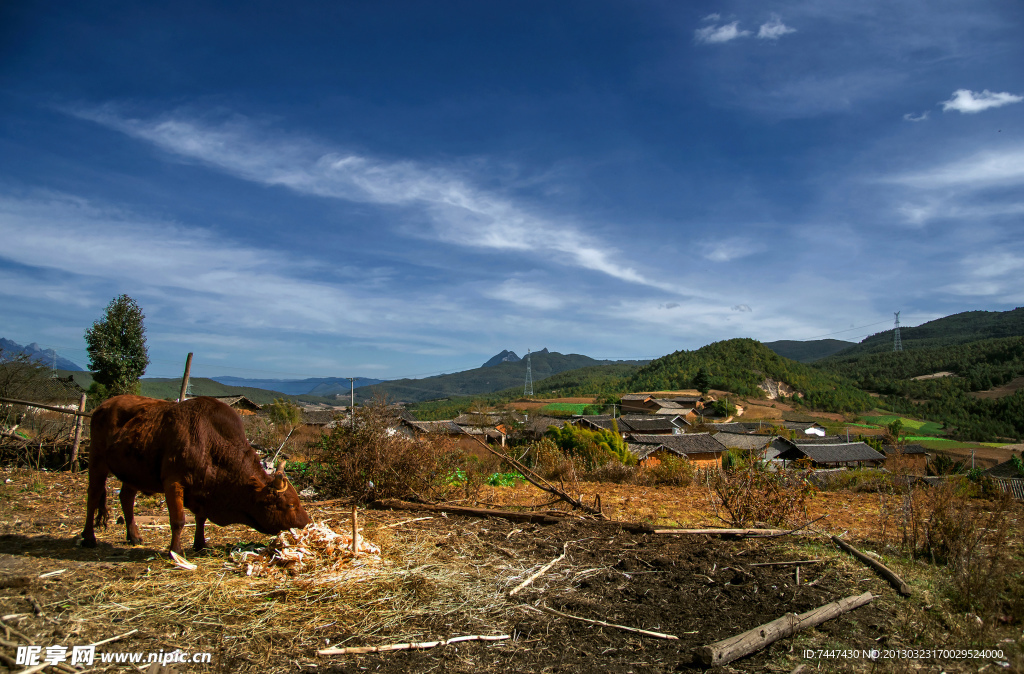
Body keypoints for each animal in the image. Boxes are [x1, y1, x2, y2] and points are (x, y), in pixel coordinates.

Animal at [82, 391, 311, 553]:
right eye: (291, 504)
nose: (306, 523)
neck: (209, 441)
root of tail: (103, 405)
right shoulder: (173, 483)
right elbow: (178, 520)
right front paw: (175, 551)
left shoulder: (204, 489)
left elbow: (201, 518)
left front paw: (200, 544)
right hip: (96, 461)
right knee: (93, 496)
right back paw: (89, 538)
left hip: (133, 472)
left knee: (126, 498)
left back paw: (134, 536)